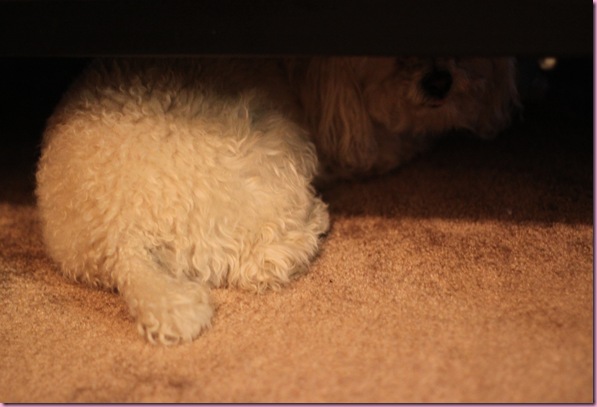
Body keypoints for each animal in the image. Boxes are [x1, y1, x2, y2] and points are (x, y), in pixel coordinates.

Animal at [36, 57, 516, 344]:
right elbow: (408, 139)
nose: (439, 81)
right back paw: (311, 224)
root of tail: (121, 242)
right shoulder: (360, 144)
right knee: (264, 263)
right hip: (269, 150)